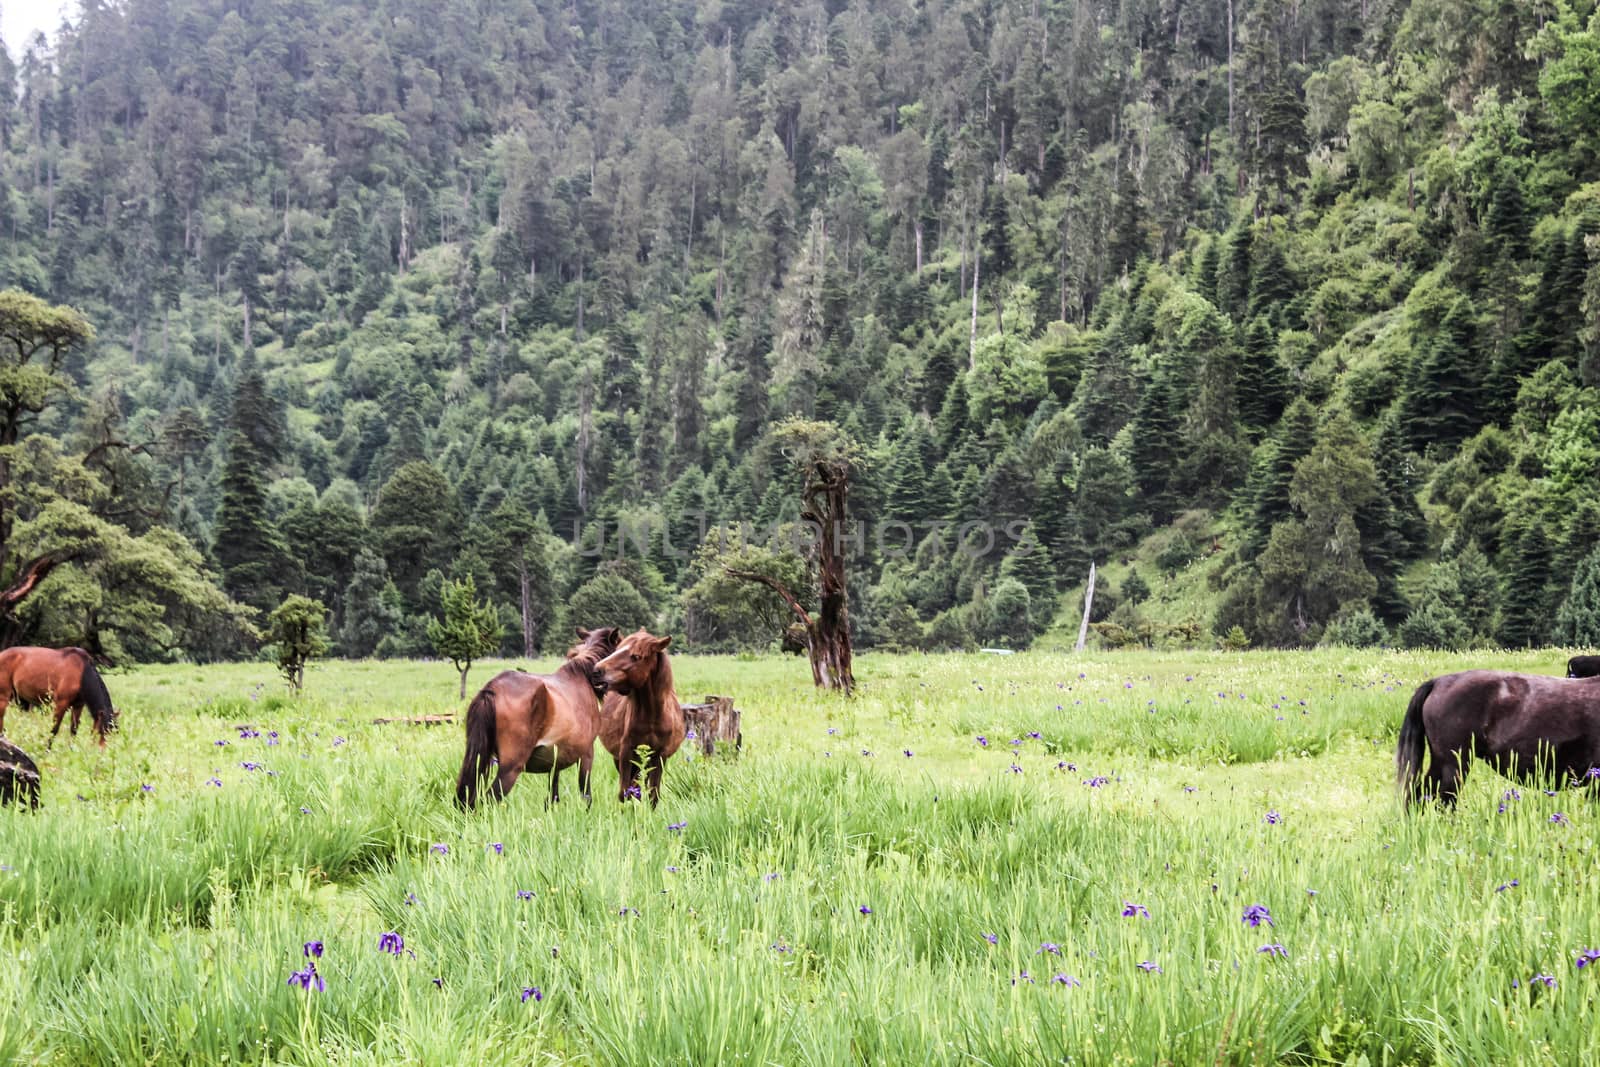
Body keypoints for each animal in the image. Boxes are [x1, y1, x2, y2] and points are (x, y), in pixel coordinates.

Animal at [457, 627, 624, 809]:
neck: (581, 677)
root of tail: (492, 688)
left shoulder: (556, 761)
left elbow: (553, 796)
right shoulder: (586, 754)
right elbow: (586, 795)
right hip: (510, 769)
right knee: (488, 800)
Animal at [595, 630, 681, 806]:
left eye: (636, 656)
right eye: (617, 649)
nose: (597, 670)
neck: (651, 717)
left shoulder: (659, 756)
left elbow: (653, 794)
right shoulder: (625, 753)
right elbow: (624, 793)